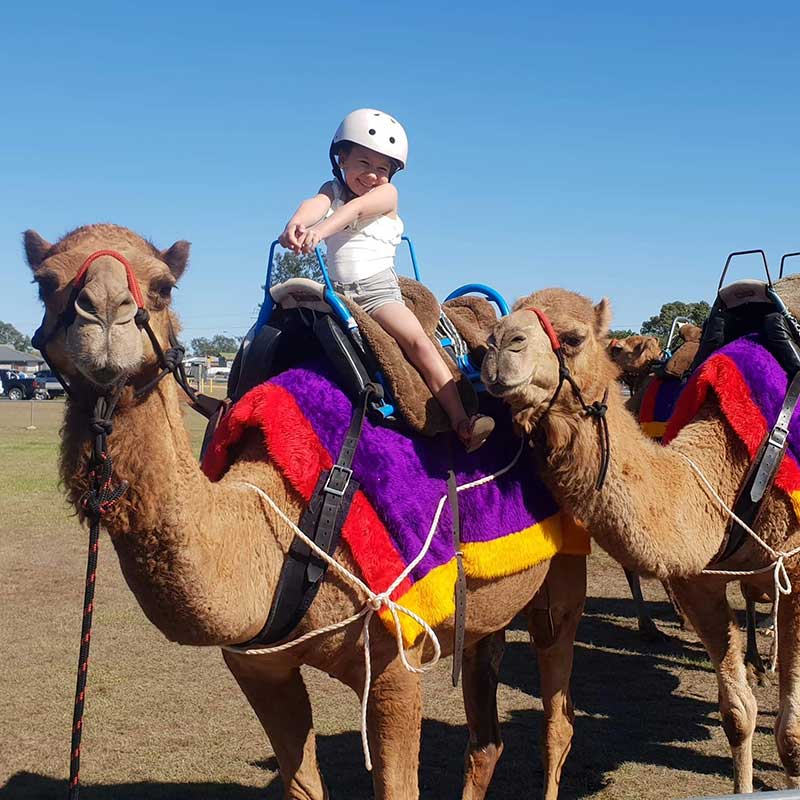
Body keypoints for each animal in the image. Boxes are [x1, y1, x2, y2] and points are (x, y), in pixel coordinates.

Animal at [25, 223, 586, 800]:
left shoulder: (394, 664)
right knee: (486, 736)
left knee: (558, 713)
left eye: (162, 286)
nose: (104, 311)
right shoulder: (258, 669)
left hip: (563, 573)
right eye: (45, 283)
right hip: (487, 608)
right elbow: (302, 784)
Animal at [481, 286, 800, 793]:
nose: (497, 345)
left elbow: (791, 735)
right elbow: (737, 714)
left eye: (573, 338)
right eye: (504, 320)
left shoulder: (794, 565)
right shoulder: (698, 578)